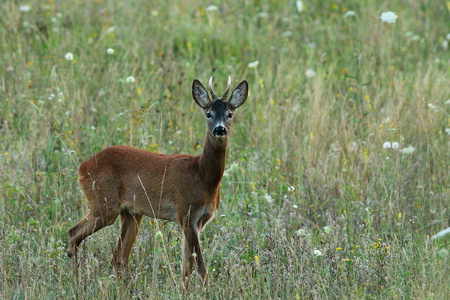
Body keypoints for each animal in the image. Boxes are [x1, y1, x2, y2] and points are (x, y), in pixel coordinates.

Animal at [68, 76, 248, 284]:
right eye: (208, 114)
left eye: (229, 114)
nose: (220, 129)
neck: (203, 176)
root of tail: (83, 166)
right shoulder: (186, 213)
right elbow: (201, 268)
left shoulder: (199, 221)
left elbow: (186, 266)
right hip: (104, 204)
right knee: (73, 234)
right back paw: (76, 280)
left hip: (131, 213)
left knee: (119, 257)